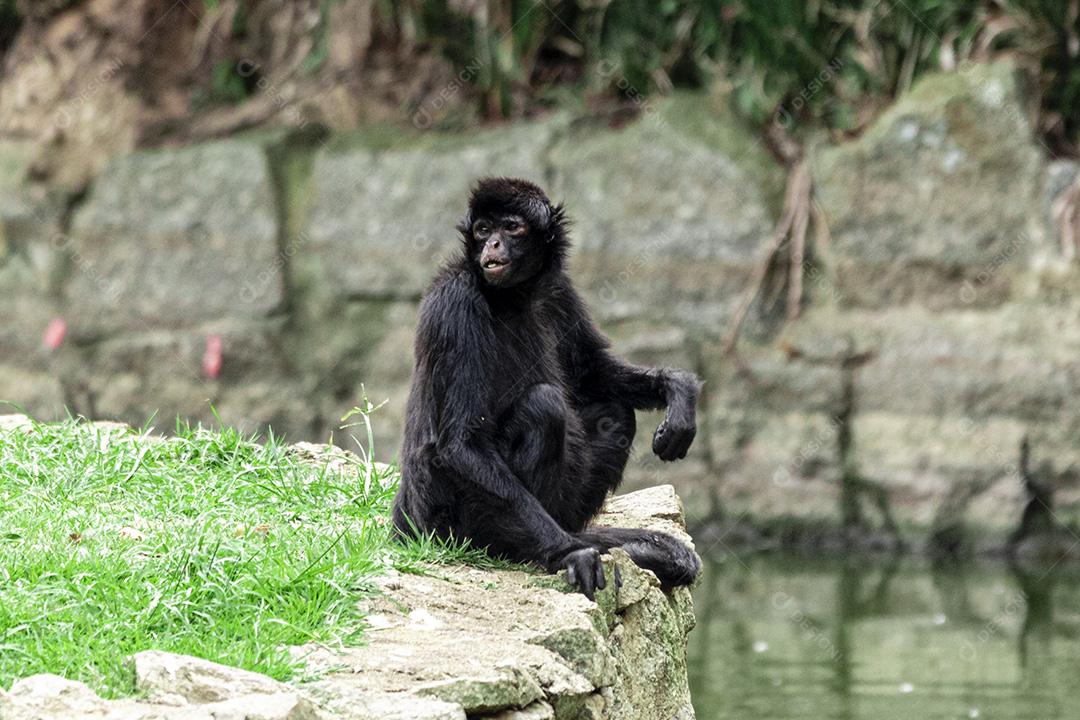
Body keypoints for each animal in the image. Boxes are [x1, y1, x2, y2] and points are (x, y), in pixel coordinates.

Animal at [392, 177, 701, 599]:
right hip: (451, 519)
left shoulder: (557, 289)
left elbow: (593, 372)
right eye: (483, 230)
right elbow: (460, 443)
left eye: (511, 227)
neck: (510, 297)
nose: (492, 245)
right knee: (544, 405)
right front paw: (571, 554)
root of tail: (406, 517)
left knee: (614, 410)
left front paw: (679, 389)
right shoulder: (455, 302)